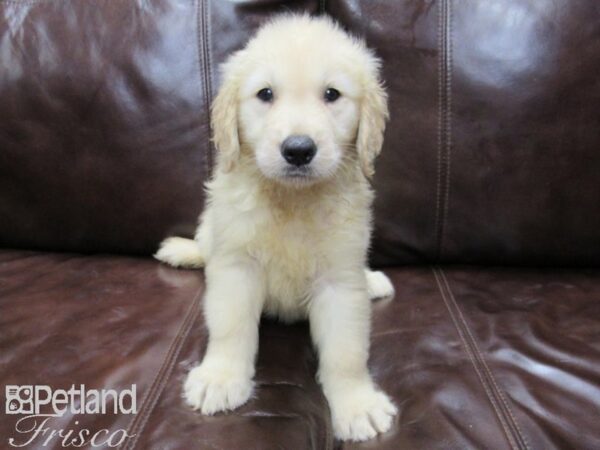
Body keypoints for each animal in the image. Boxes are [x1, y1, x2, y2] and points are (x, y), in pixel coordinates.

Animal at [157, 14, 396, 442]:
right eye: (265, 94)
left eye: (332, 94)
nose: (298, 150)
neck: (292, 200)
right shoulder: (236, 266)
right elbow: (231, 327)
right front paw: (220, 378)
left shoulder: (339, 280)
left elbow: (347, 351)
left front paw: (357, 404)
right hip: (210, 227)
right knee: (205, 250)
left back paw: (373, 282)